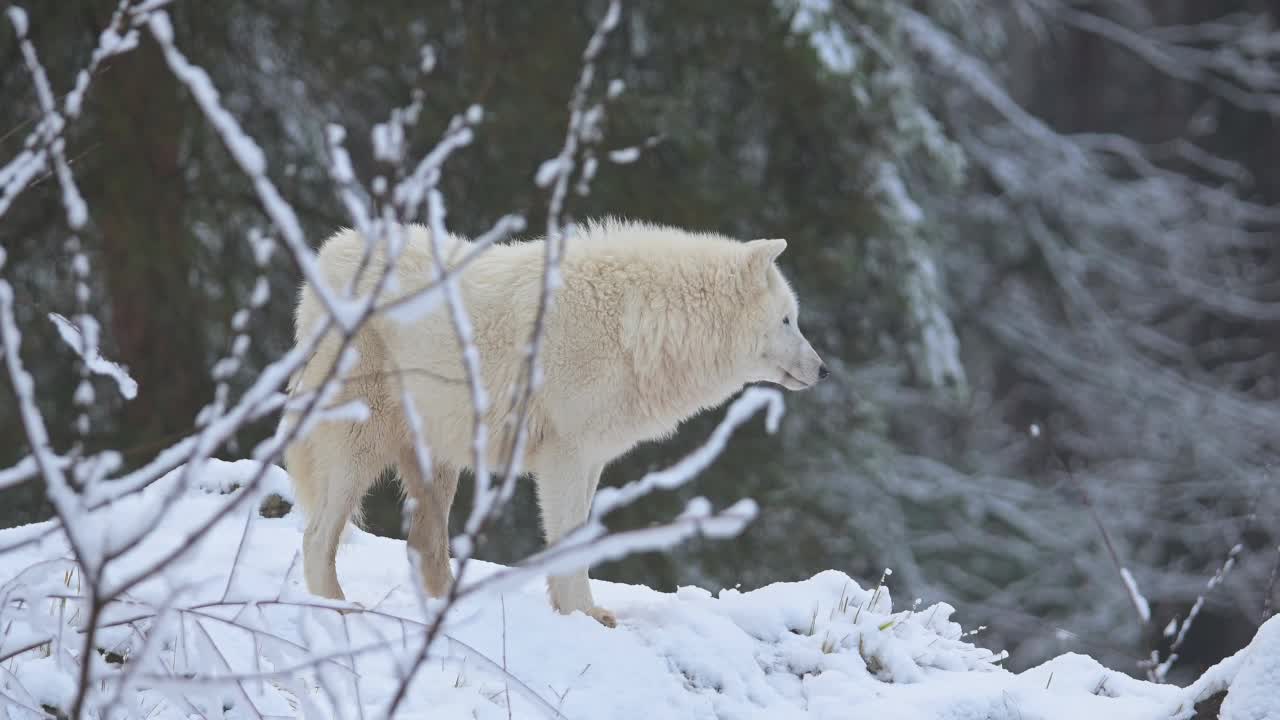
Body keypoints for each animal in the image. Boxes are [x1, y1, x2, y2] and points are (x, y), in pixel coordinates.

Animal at [282, 217, 829, 622]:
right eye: (788, 320)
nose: (823, 370)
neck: (638, 325)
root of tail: (327, 255)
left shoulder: (591, 461)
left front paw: (578, 610)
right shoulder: (565, 457)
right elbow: (568, 540)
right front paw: (581, 614)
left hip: (438, 460)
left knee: (422, 547)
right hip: (361, 445)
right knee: (317, 535)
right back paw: (335, 606)